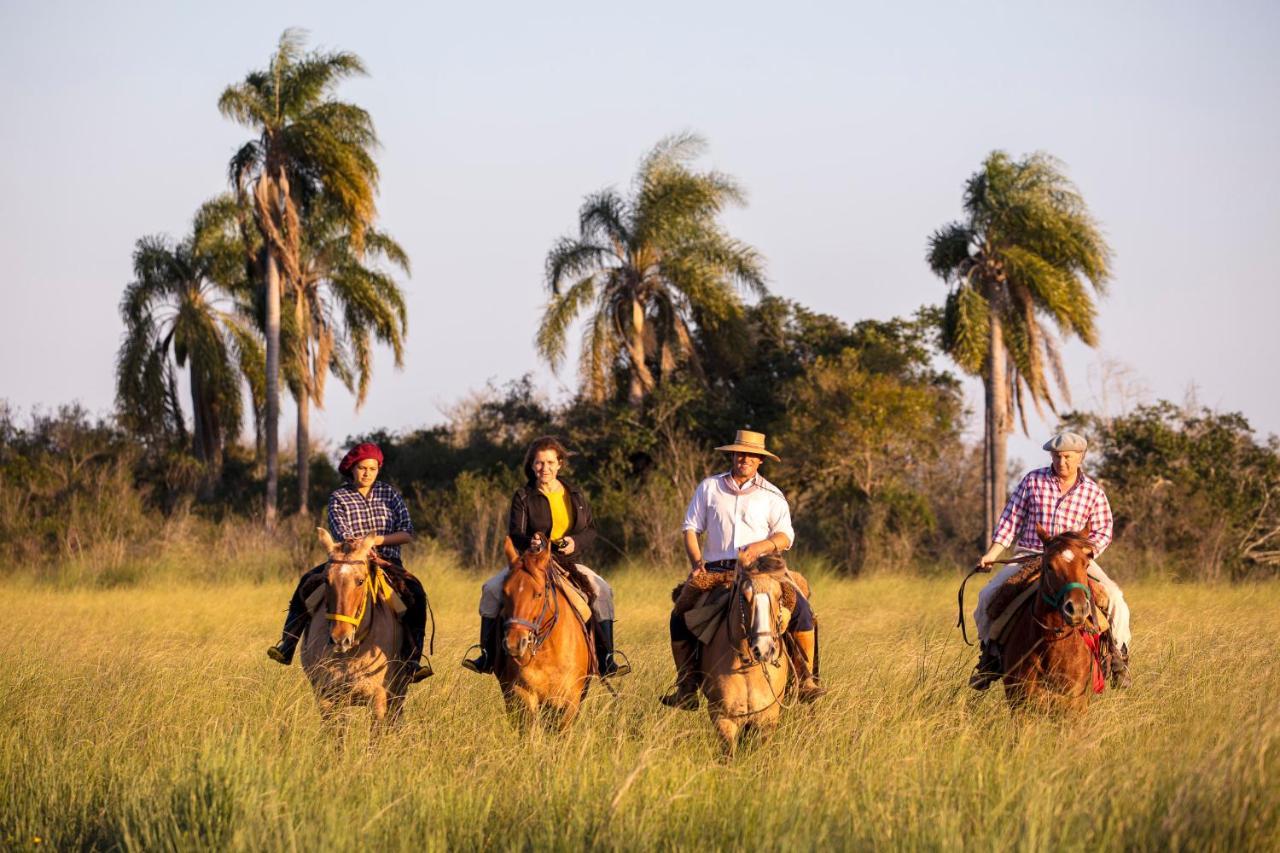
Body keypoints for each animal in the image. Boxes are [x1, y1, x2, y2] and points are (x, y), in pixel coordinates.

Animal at [494, 527, 593, 727]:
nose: (514, 644)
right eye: (505, 592)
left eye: (538, 594)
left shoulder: (570, 700)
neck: (549, 649)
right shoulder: (523, 693)